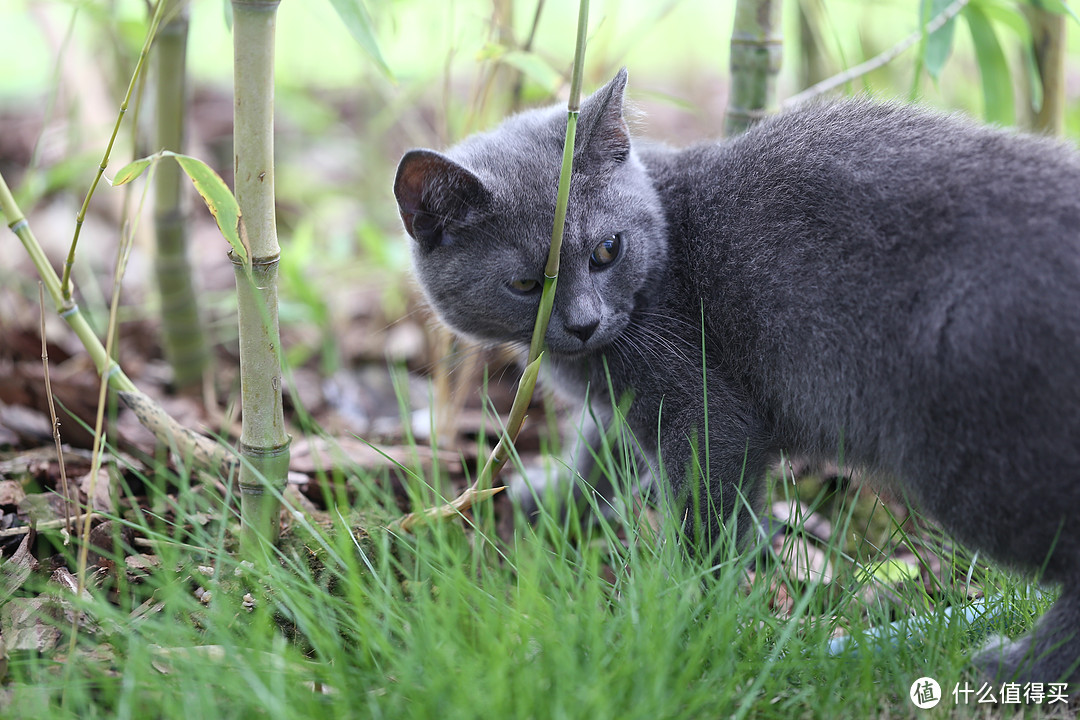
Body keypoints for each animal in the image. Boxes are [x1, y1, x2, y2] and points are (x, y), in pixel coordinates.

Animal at [395, 71, 1080, 686]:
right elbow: (602, 450)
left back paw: (1019, 667)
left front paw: (676, 615)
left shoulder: (704, 408)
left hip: (978, 465)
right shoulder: (630, 401)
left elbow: (704, 517)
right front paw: (557, 502)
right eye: (525, 284)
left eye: (607, 250)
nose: (585, 324)